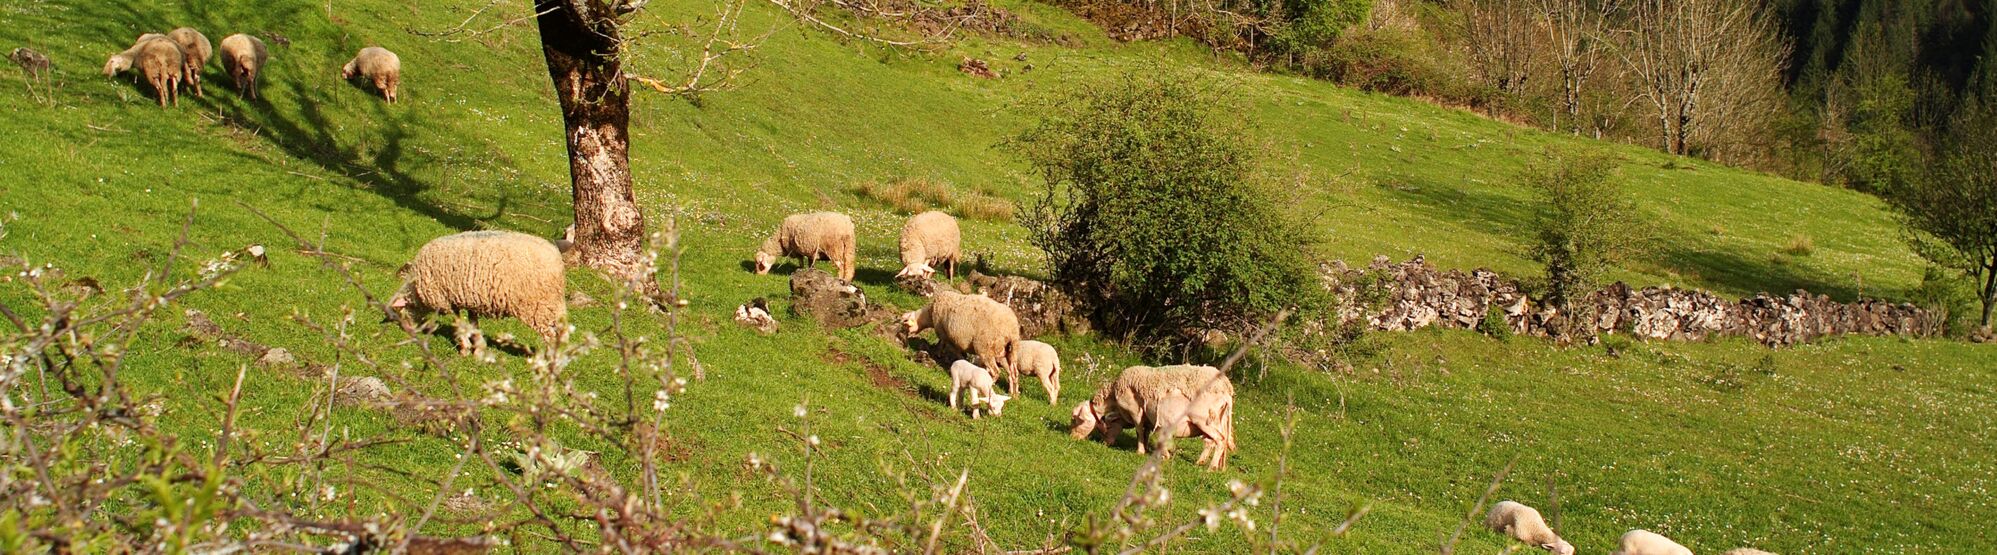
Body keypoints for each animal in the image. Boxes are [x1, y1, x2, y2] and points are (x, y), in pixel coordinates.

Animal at [388, 230, 569, 356]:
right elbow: (473, 323)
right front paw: (478, 348)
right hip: (553, 304)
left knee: (550, 336)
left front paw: (464, 349)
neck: (416, 290)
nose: (409, 332)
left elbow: (459, 323)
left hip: (537, 306)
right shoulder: (468, 299)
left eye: (400, 311)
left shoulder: (447, 299)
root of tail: (556, 259)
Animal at [1074, 364, 1237, 470]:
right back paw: (1201, 463)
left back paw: (1211, 468)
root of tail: (1227, 391)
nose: (1072, 438)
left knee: (1220, 440)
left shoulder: (1136, 411)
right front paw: (1146, 448)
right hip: (1217, 421)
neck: (1113, 395)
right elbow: (1145, 432)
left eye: (1076, 419)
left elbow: (1139, 430)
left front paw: (1140, 451)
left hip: (1204, 420)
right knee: (1211, 442)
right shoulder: (1146, 417)